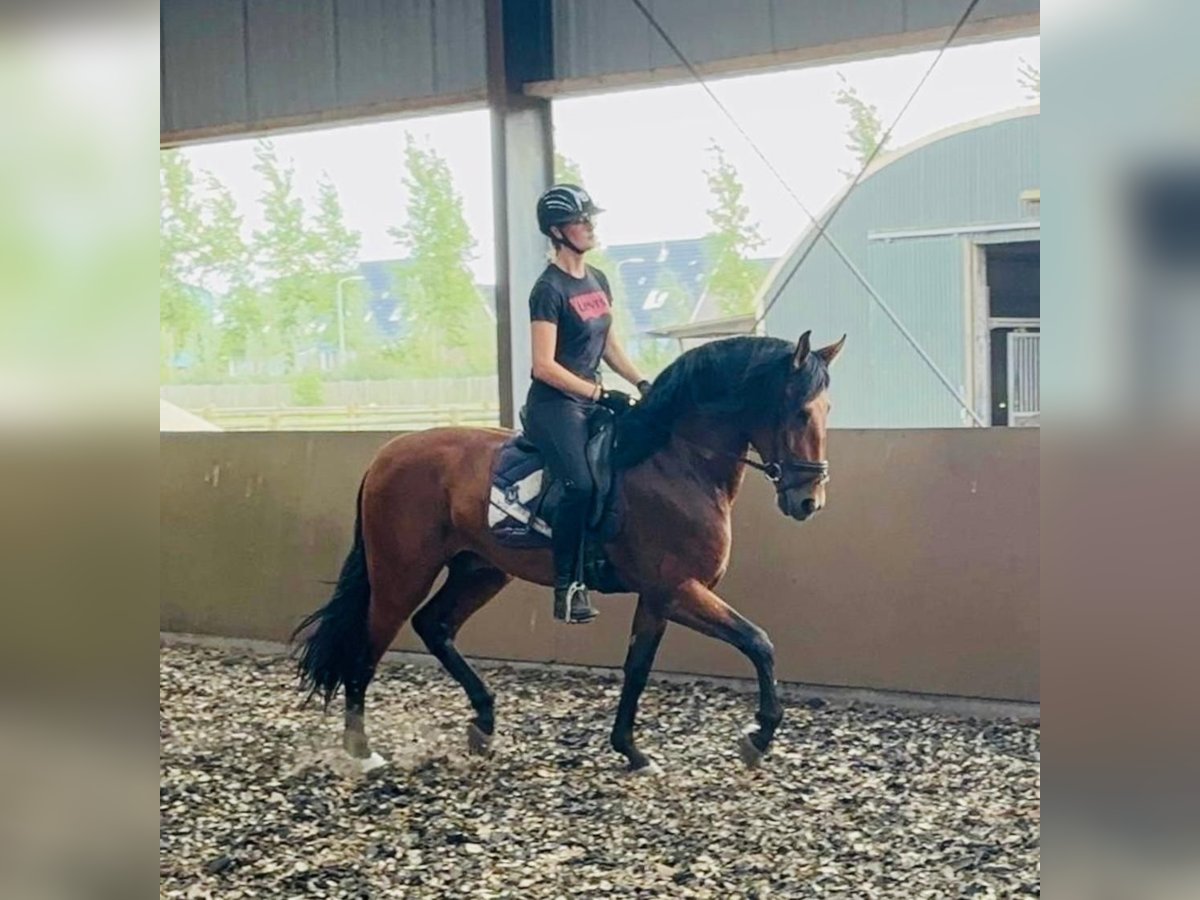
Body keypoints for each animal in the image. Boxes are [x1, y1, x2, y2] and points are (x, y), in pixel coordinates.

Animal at [292, 331, 844, 777]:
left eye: (827, 412)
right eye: (800, 412)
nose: (808, 502)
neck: (676, 462)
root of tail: (387, 454)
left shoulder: (659, 598)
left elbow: (638, 668)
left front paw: (631, 751)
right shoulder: (677, 589)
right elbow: (758, 642)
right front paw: (759, 737)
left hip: (481, 569)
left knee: (435, 625)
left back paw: (483, 723)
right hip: (401, 574)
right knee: (368, 646)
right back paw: (362, 750)